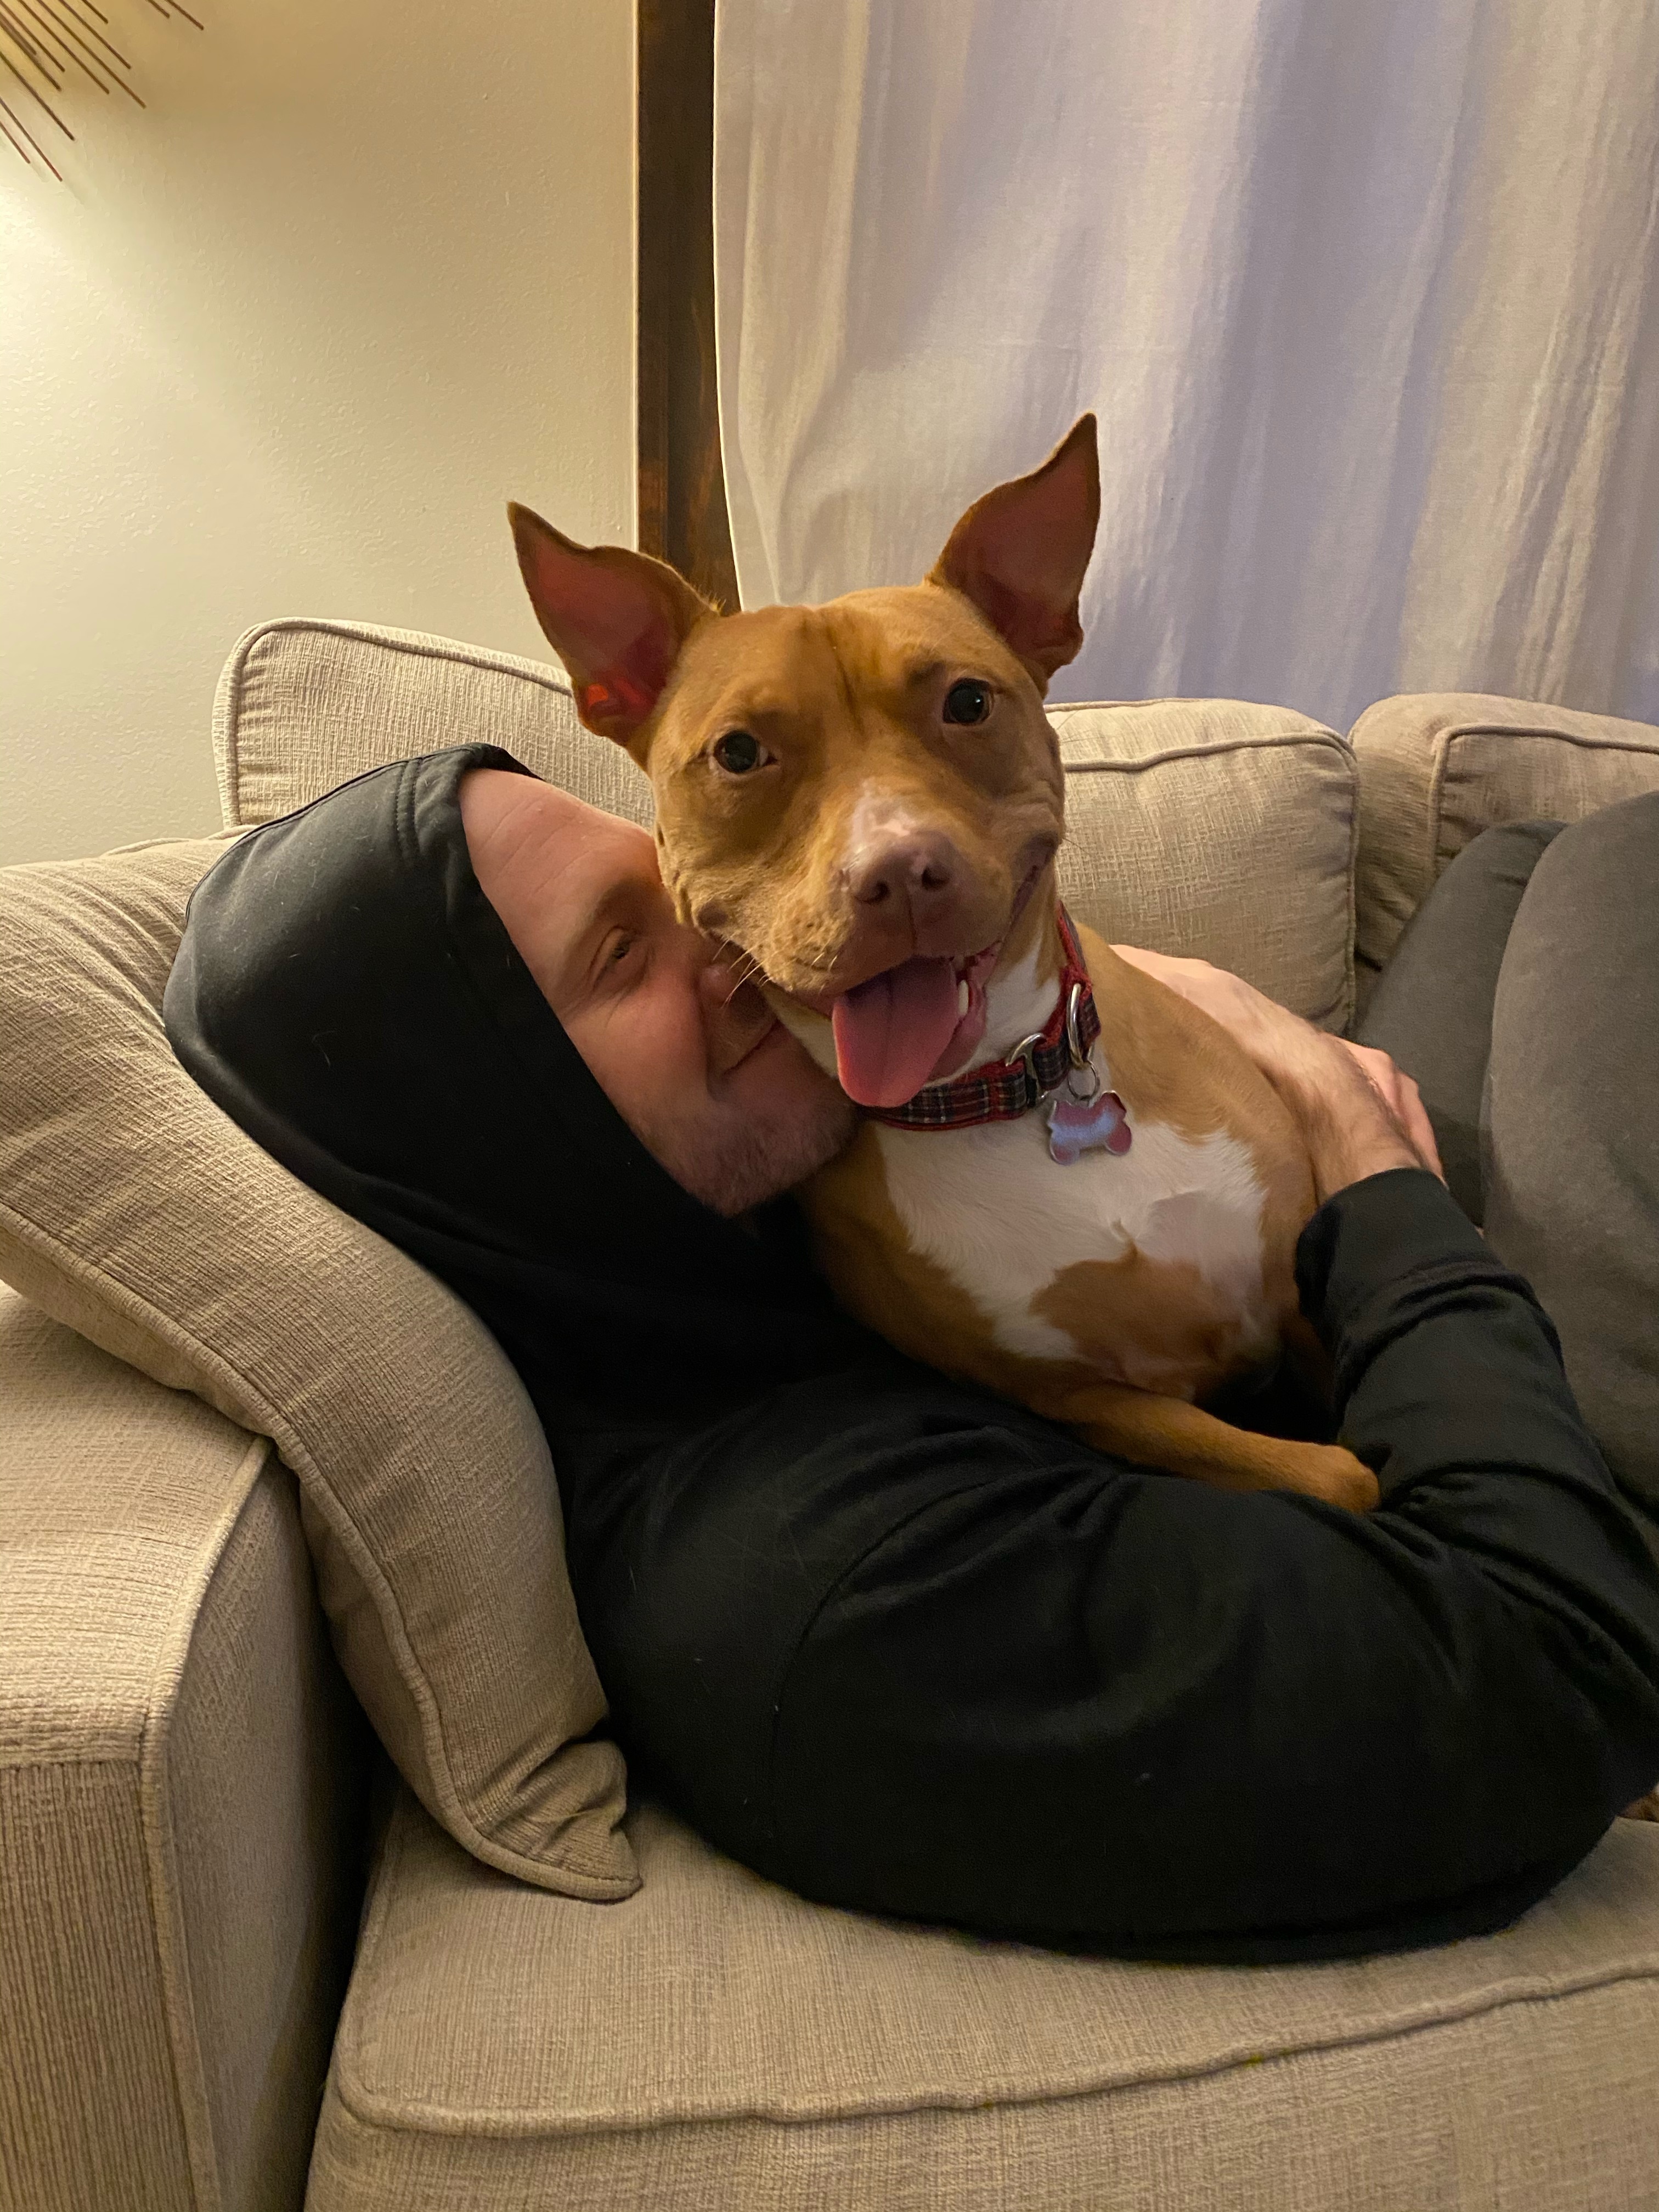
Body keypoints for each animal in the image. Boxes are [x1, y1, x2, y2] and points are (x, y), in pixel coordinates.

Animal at [513, 416, 1380, 1513]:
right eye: (739, 753)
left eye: (968, 701)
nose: (896, 872)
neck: (1001, 1089)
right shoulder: (1091, 1400)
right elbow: (1340, 1476)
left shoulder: (1290, 1284)